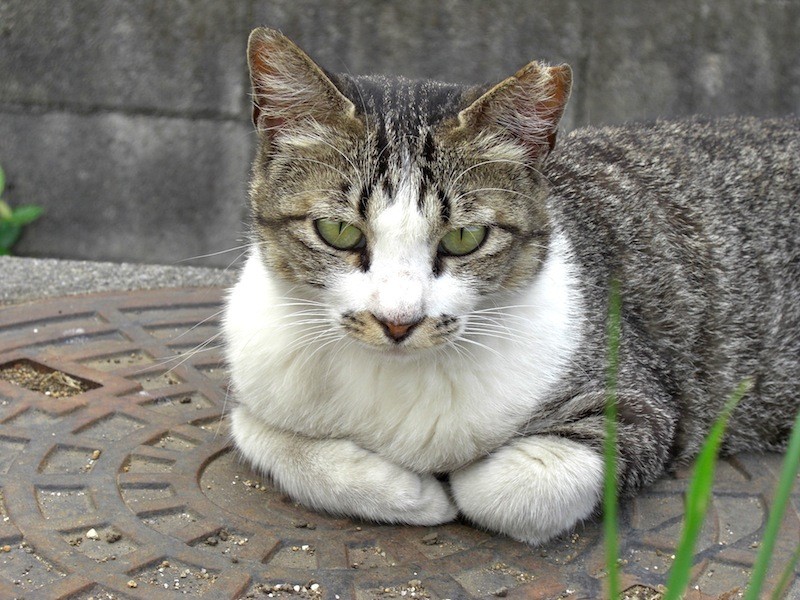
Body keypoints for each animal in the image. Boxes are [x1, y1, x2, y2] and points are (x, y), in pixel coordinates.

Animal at [223, 27, 800, 544]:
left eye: (464, 238)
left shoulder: (645, 403)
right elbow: (257, 433)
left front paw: (450, 483)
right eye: (338, 231)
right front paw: (410, 492)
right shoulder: (257, 373)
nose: (398, 322)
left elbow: (509, 487)